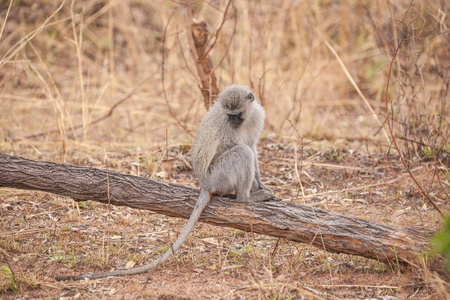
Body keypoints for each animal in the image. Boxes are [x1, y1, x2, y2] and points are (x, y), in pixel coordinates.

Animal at [56, 83, 274, 280]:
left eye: (238, 113)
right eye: (230, 115)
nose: (234, 122)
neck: (244, 120)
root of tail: (204, 184)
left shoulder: (256, 116)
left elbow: (253, 147)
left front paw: (260, 183)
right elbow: (238, 147)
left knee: (246, 151)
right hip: (218, 176)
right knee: (241, 152)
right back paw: (245, 198)